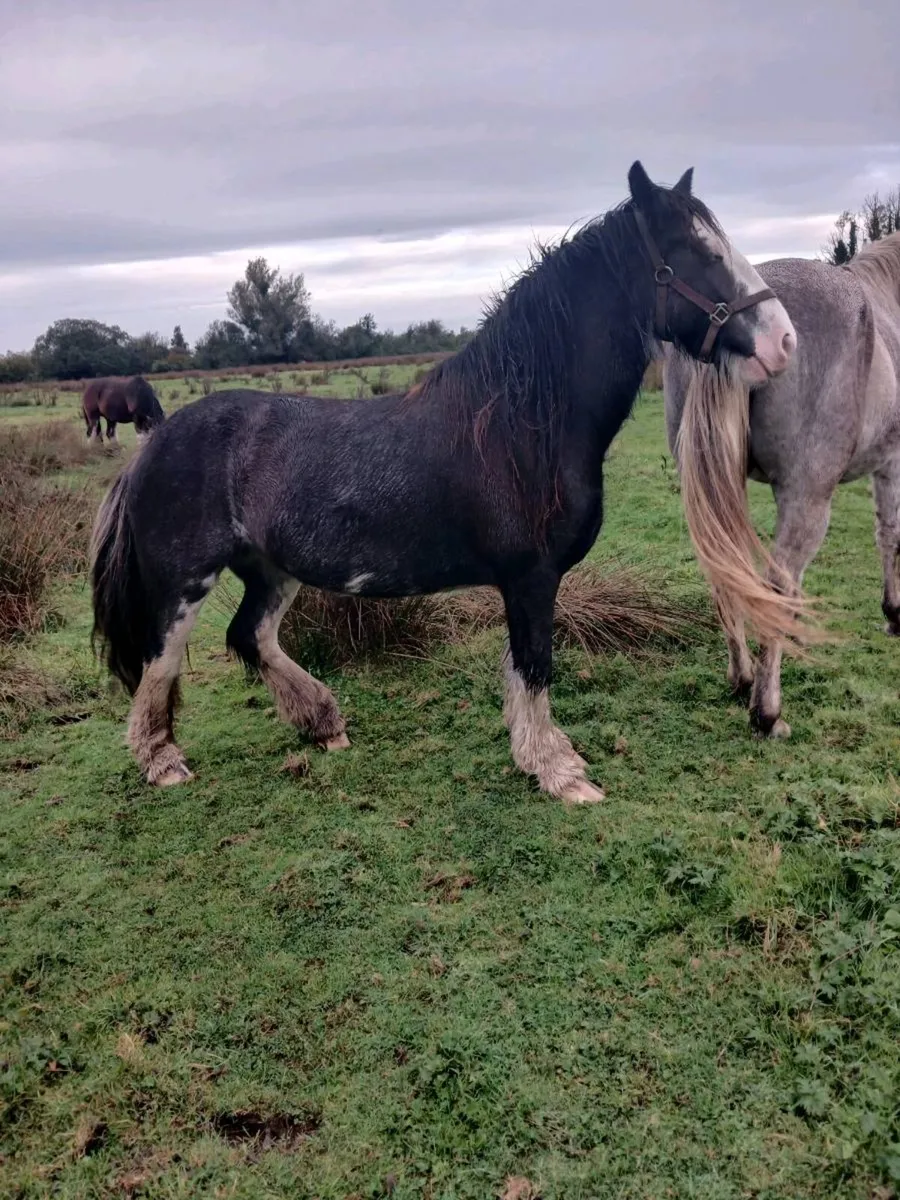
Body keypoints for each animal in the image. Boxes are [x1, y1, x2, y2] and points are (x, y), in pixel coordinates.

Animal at [89, 161, 796, 802]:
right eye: (700, 252)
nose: (784, 341)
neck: (520, 423)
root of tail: (153, 447)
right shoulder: (531, 577)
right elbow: (535, 667)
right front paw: (559, 773)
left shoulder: (522, 582)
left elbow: (518, 672)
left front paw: (536, 755)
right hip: (184, 580)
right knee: (160, 659)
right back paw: (162, 761)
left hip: (270, 568)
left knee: (250, 635)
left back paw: (323, 723)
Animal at [663, 231, 900, 738]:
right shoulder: (891, 463)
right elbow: (889, 536)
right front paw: (894, 614)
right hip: (808, 497)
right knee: (777, 580)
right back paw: (767, 712)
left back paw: (743, 676)